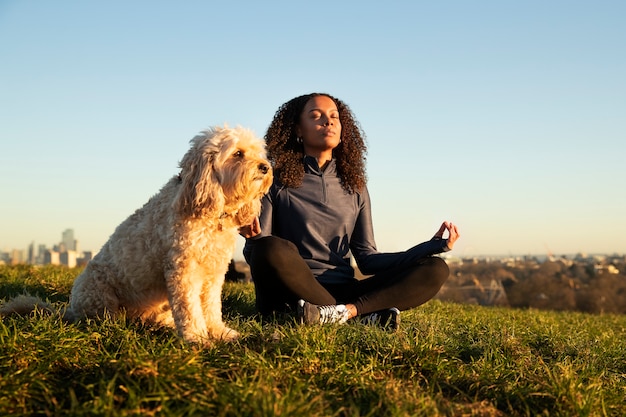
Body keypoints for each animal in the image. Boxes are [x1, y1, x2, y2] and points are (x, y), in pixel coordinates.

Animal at [1, 124, 272, 344]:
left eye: (258, 153)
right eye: (238, 154)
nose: (266, 167)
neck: (209, 213)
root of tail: (69, 311)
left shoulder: (213, 273)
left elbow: (211, 306)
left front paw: (219, 332)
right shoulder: (183, 271)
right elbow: (190, 308)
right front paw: (196, 337)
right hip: (97, 291)